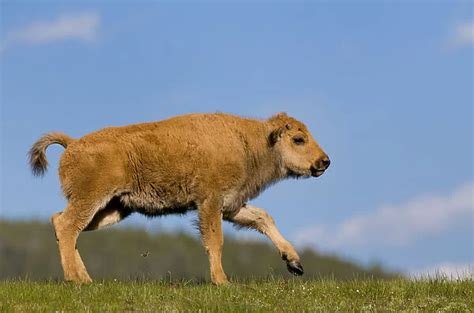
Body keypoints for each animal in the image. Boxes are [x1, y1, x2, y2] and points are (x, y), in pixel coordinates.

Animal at [27, 111, 328, 282]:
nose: (324, 161)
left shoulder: (231, 205)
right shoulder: (210, 203)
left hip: (113, 208)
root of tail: (73, 143)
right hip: (92, 200)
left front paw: (295, 263)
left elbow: (263, 218)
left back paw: (86, 279)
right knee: (66, 225)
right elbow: (215, 241)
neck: (250, 143)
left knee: (63, 224)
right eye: (298, 139)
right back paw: (74, 279)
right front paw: (222, 281)